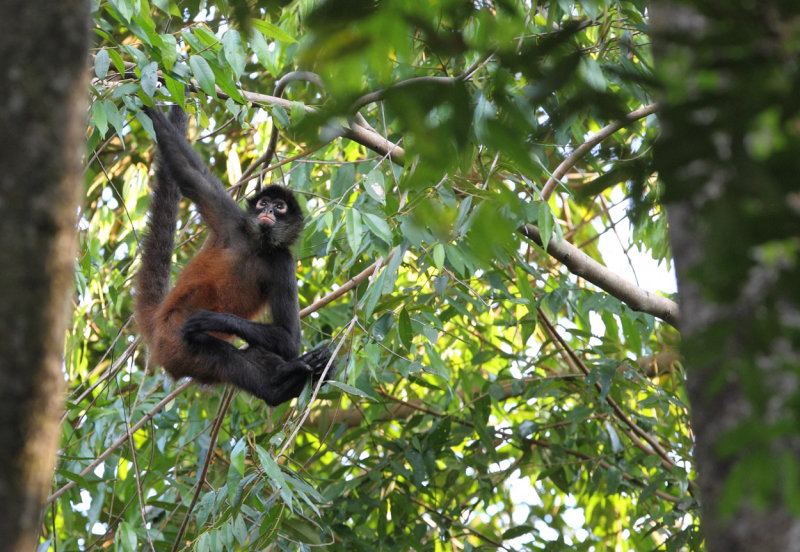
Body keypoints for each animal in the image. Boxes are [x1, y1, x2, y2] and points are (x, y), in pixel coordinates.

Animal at [136, 105, 330, 406]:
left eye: (280, 206)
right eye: (264, 203)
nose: (269, 211)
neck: (257, 245)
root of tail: (157, 324)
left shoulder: (283, 261)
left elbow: (289, 340)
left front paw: (219, 320)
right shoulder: (233, 221)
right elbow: (188, 173)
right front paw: (153, 110)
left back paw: (287, 382)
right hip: (174, 337)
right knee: (216, 351)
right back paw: (283, 383)